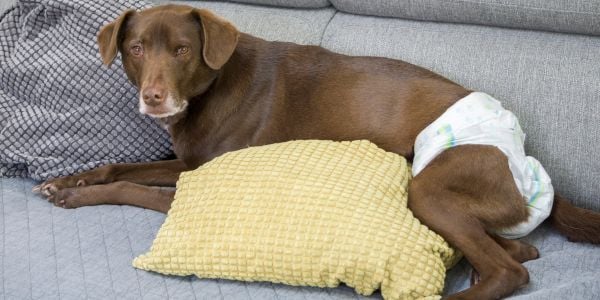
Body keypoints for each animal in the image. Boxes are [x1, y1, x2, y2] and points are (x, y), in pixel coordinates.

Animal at [34, 5, 600, 300]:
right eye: (135, 49)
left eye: (182, 50)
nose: (153, 97)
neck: (211, 88)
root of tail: (525, 155)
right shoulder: (187, 163)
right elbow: (125, 165)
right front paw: (67, 179)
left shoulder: (199, 179)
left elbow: (132, 185)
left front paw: (74, 195)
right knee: (518, 253)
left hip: (432, 186)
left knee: (513, 271)